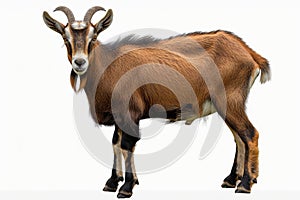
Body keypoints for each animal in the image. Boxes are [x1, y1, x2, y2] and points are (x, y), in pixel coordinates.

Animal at [43, 5, 270, 198]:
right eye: (65, 38)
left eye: (93, 37)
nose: (79, 62)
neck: (108, 65)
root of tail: (249, 53)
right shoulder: (119, 116)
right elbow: (116, 144)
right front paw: (112, 182)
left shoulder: (130, 113)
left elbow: (127, 145)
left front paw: (126, 187)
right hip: (227, 105)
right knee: (239, 138)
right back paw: (232, 179)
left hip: (230, 101)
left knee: (249, 134)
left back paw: (245, 184)